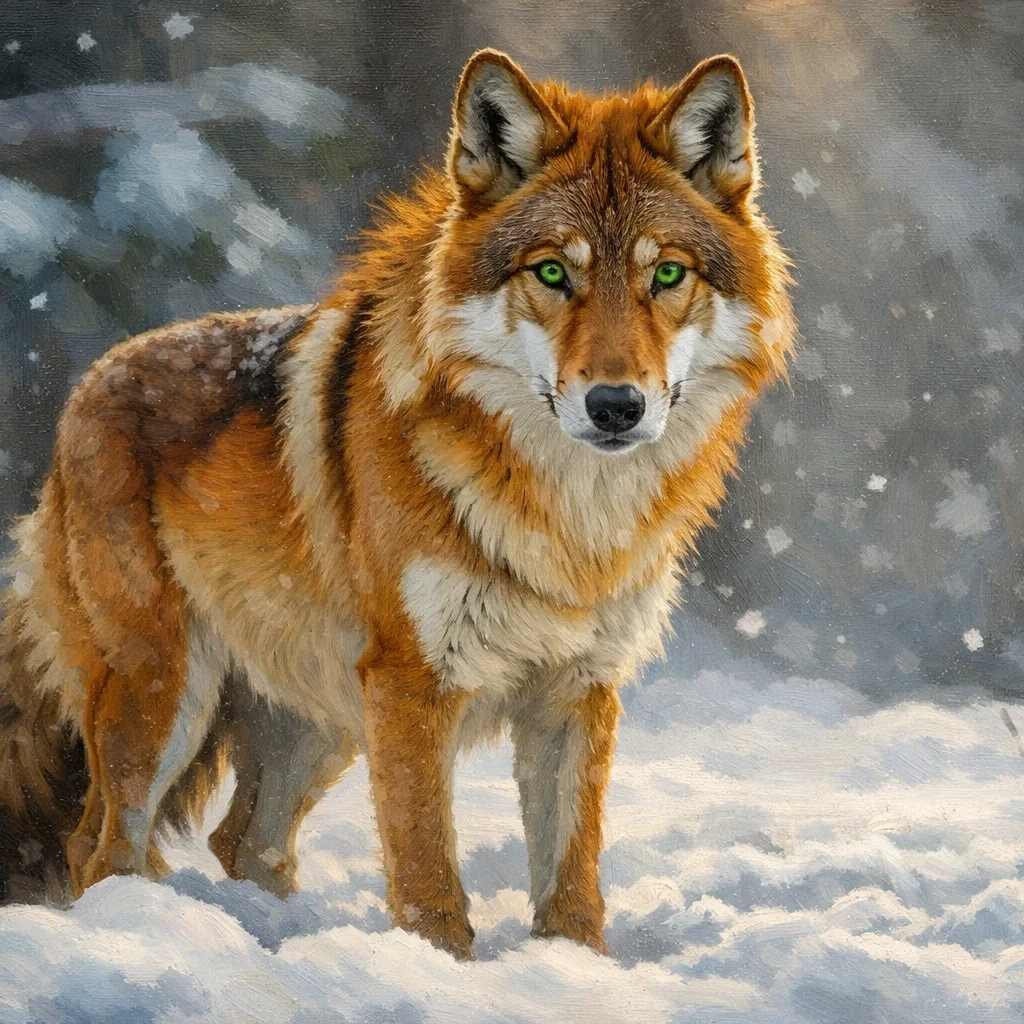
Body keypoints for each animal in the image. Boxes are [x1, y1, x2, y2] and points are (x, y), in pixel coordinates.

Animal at [0, 49, 794, 958]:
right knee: (100, 849)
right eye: (552, 272)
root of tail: (88, 382)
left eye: (666, 274)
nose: (617, 406)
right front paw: (442, 964)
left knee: (243, 842)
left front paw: (570, 966)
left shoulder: (577, 691)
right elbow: (424, 871)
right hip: (170, 692)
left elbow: (572, 881)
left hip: (324, 717)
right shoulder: (415, 684)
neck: (568, 525)